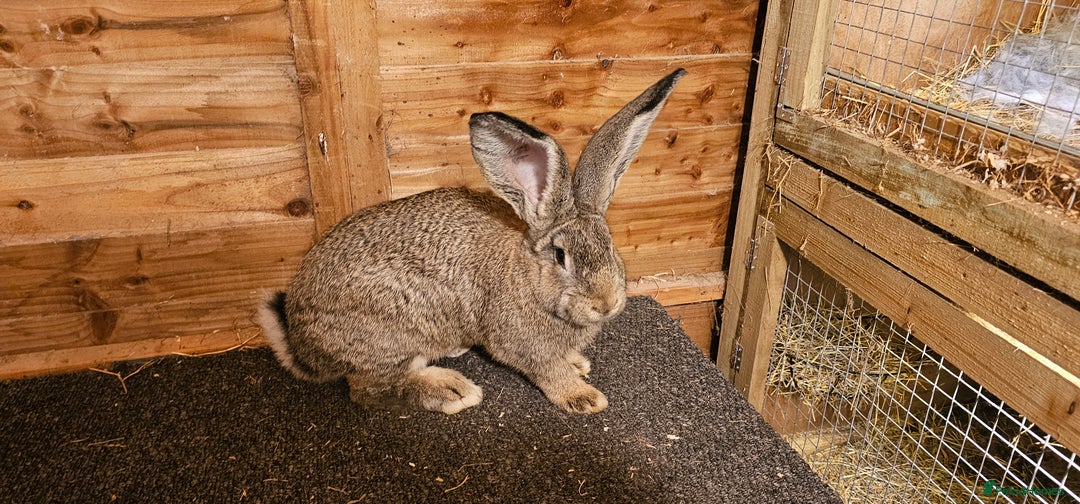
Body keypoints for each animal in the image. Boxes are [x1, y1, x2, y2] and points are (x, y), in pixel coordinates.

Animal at [256, 69, 686, 415]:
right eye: (561, 256)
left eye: (610, 244)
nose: (606, 304)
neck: (529, 277)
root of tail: (301, 346)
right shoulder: (520, 342)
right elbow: (546, 369)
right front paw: (582, 395)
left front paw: (578, 363)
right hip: (392, 330)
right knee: (369, 388)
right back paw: (451, 391)